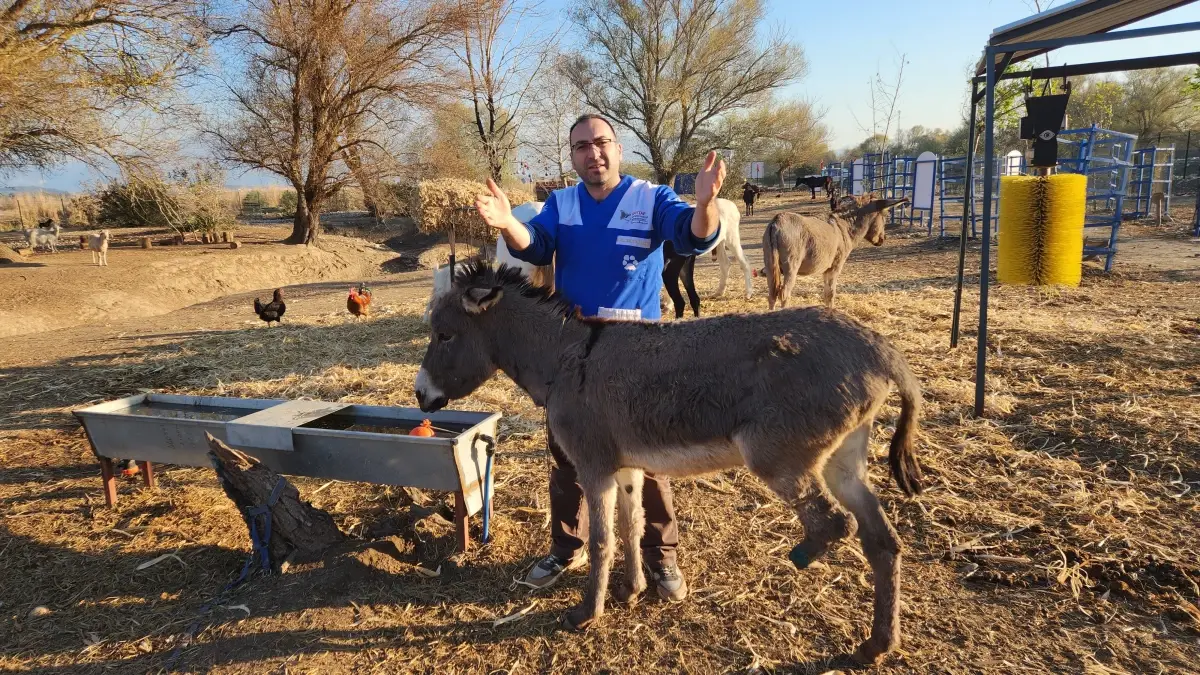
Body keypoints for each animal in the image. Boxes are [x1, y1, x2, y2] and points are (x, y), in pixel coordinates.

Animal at [417, 263, 921, 662]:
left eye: (444, 335)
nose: (420, 396)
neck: (568, 358)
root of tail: (879, 348)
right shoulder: (626, 467)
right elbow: (632, 525)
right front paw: (631, 590)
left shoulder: (593, 467)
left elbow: (601, 540)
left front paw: (587, 612)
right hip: (843, 460)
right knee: (882, 540)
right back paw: (878, 644)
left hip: (777, 457)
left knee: (837, 523)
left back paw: (804, 554)